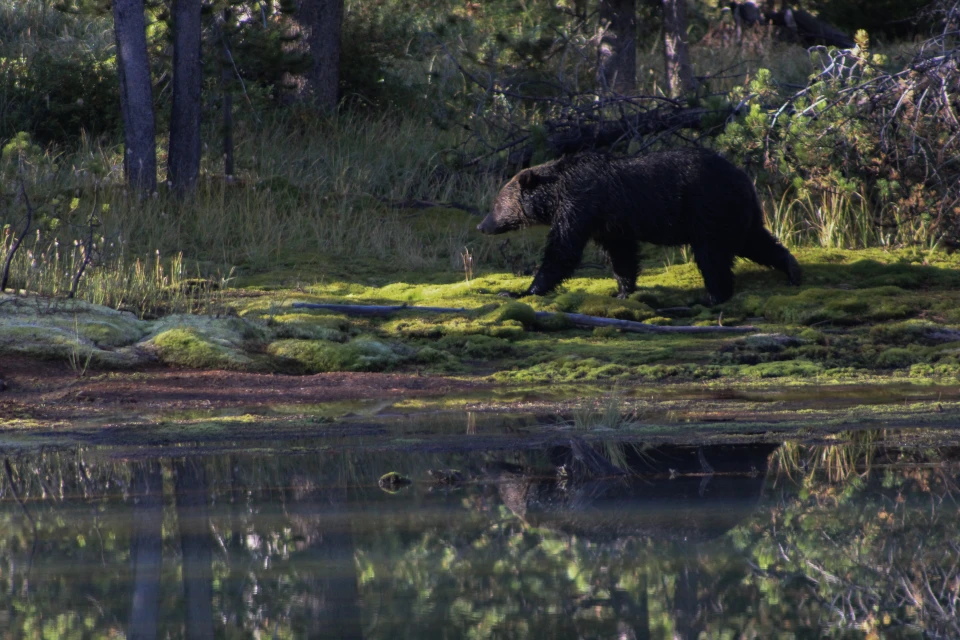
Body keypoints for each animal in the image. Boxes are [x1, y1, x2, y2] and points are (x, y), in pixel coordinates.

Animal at [476, 149, 801, 304]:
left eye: (496, 204)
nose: (482, 225)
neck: (555, 194)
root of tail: (746, 179)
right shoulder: (607, 222)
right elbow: (622, 255)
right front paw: (622, 290)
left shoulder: (581, 204)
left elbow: (562, 250)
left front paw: (522, 291)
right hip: (736, 213)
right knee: (757, 242)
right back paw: (792, 269)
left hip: (707, 208)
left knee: (712, 256)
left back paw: (711, 295)